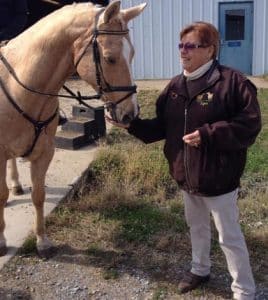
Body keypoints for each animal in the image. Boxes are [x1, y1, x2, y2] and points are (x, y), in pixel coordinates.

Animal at [0, 0, 147, 258]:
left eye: (132, 54)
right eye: (110, 58)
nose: (130, 113)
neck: (22, 88)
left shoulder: (45, 151)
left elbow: (39, 196)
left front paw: (42, 242)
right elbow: (1, 196)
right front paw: (1, 241)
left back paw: (17, 184)